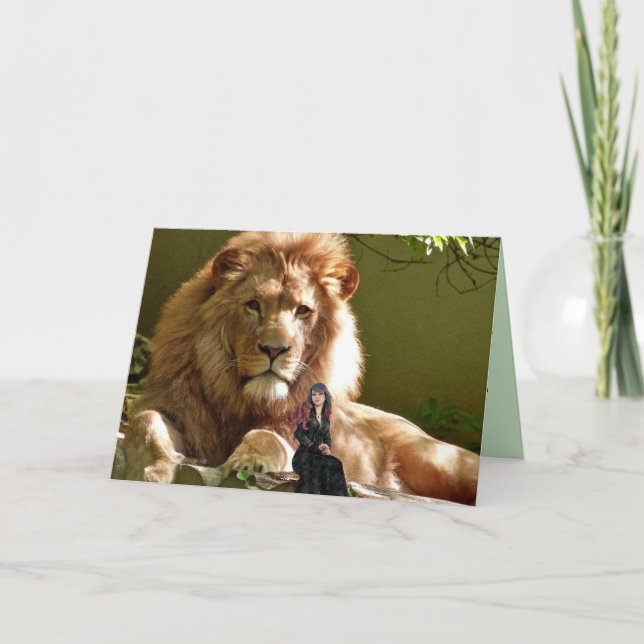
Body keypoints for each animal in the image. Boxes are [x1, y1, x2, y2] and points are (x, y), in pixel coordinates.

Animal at [121, 231, 479, 504]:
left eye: (302, 311)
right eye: (253, 305)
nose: (274, 349)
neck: (241, 400)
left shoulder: (290, 435)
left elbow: (266, 436)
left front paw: (250, 461)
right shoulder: (177, 409)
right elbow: (145, 421)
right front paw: (153, 470)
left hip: (441, 462)